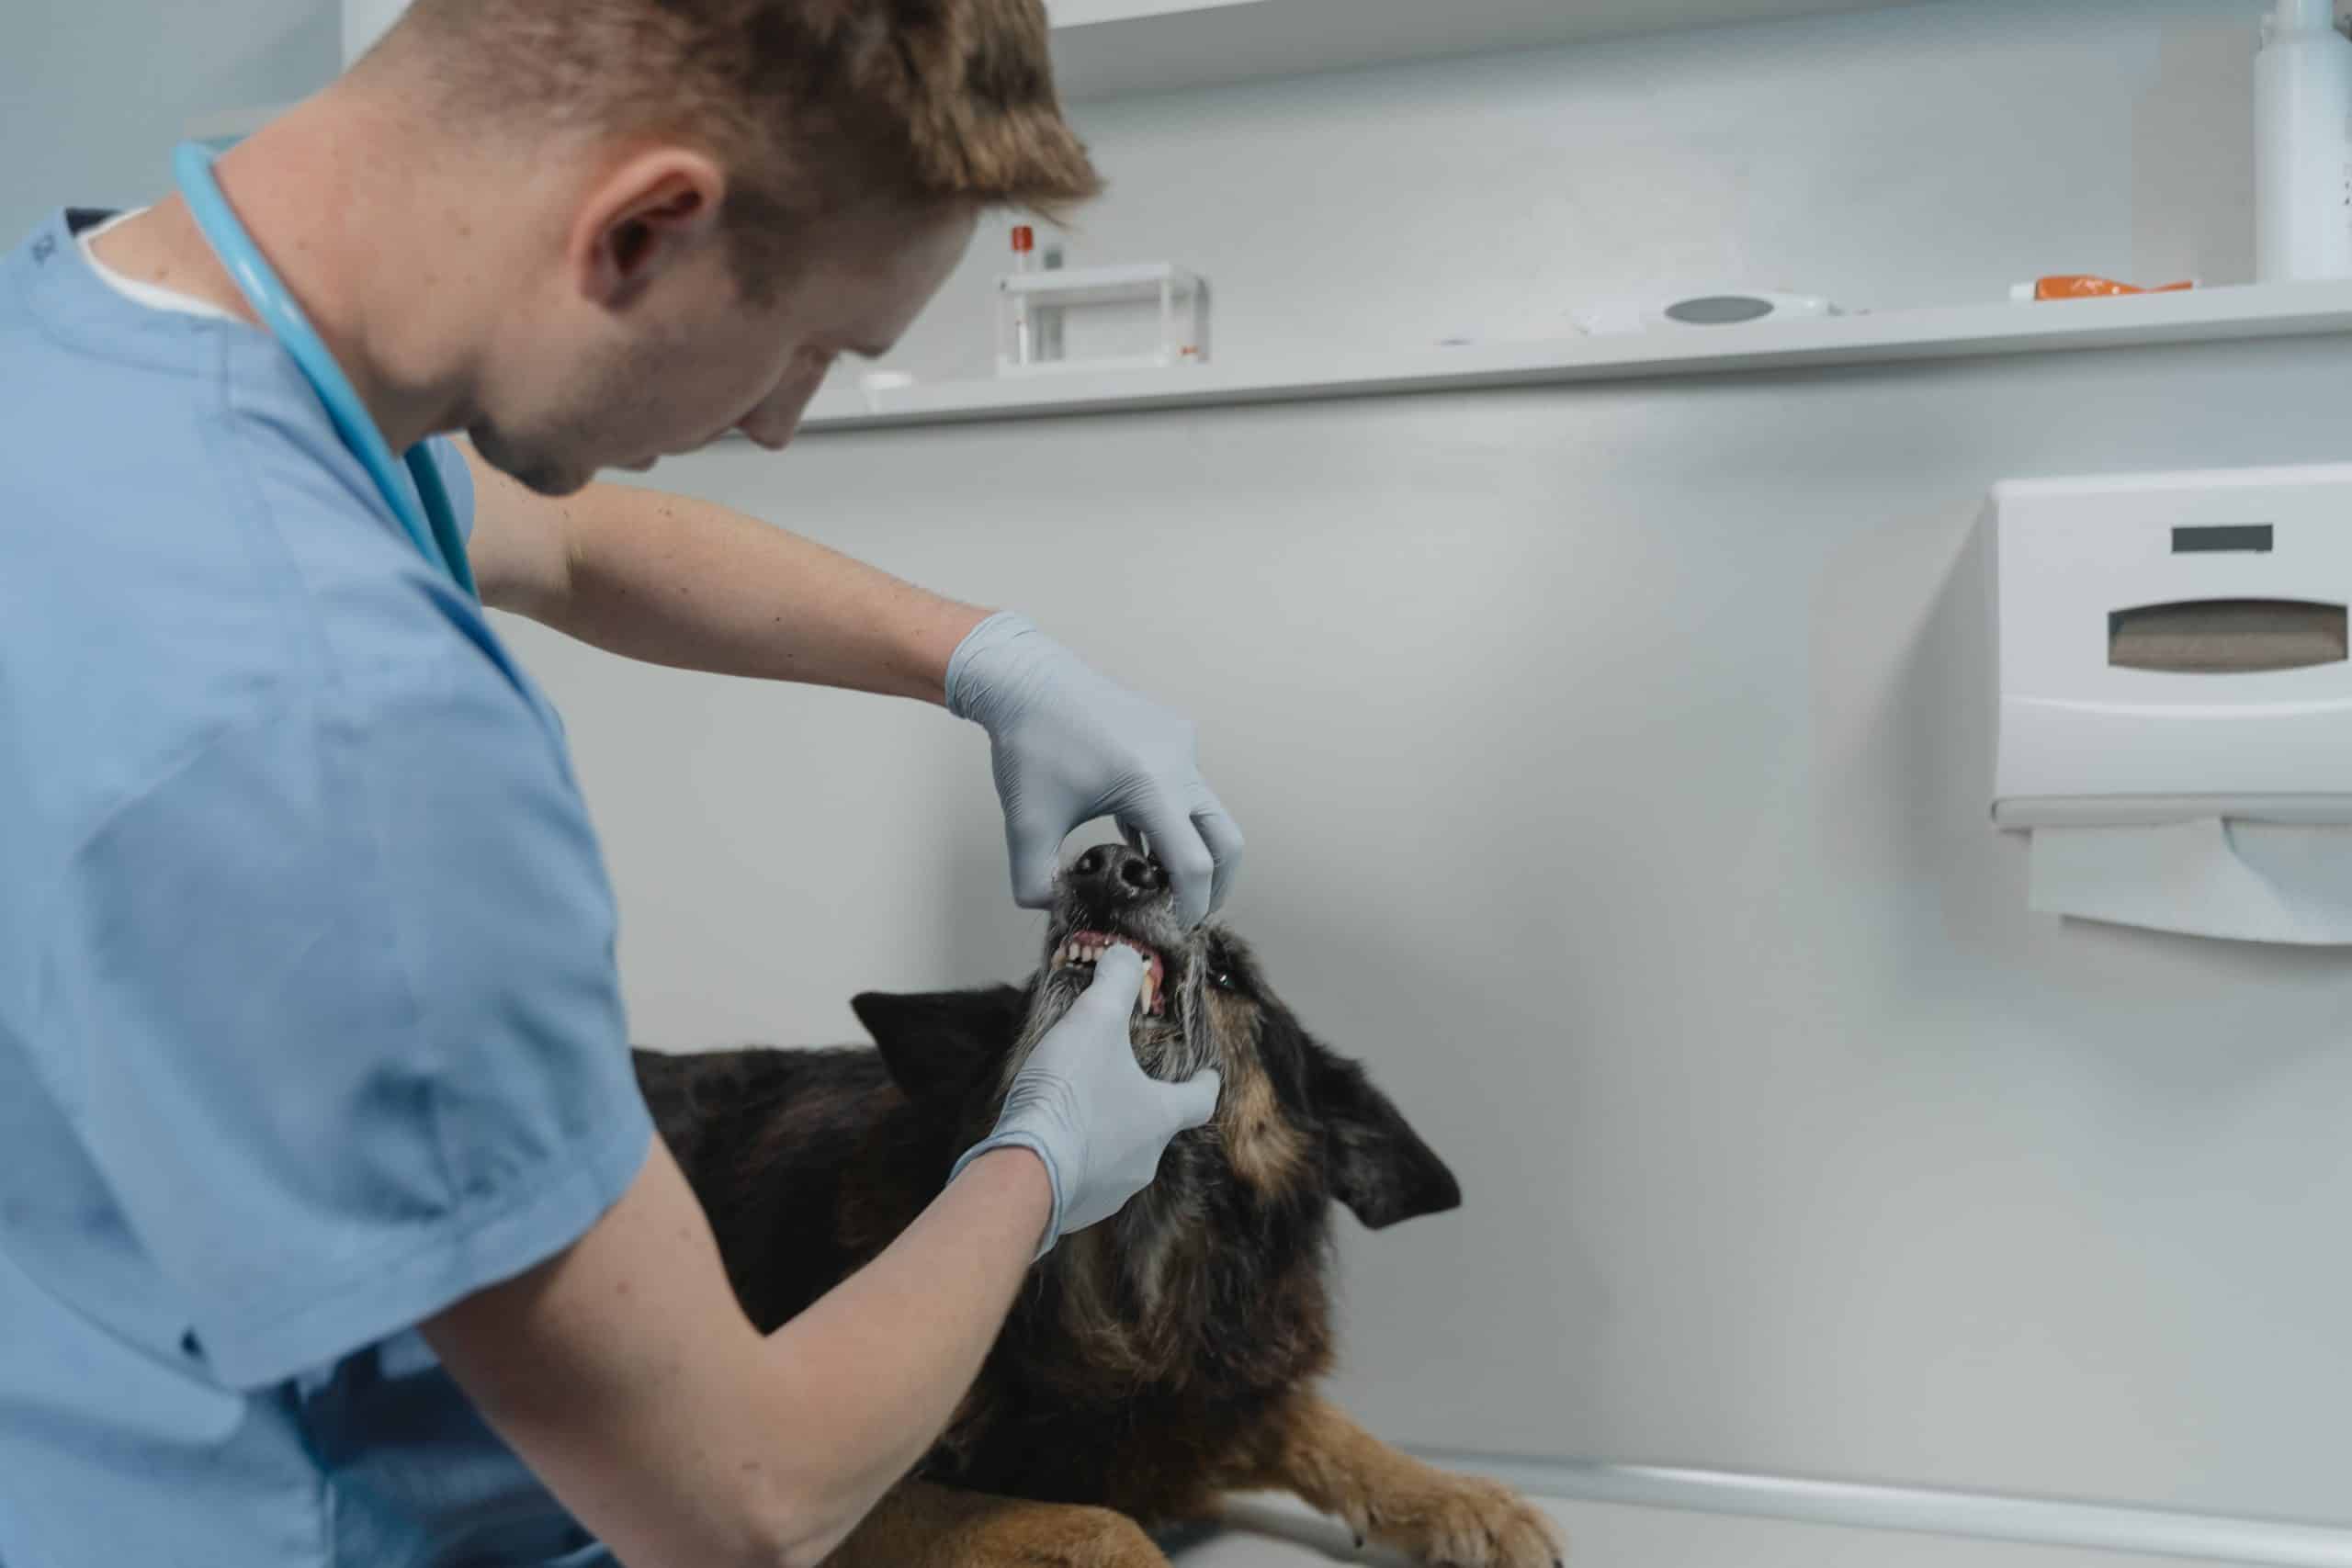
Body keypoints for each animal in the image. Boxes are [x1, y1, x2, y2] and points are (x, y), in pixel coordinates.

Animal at [635, 846, 1571, 1568]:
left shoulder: (1205, 1396)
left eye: (1230, 972)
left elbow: (1316, 1421)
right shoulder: (849, 1501)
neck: (1124, 1282)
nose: (1110, 862)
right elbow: (1100, 1523)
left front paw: (1466, 1499)